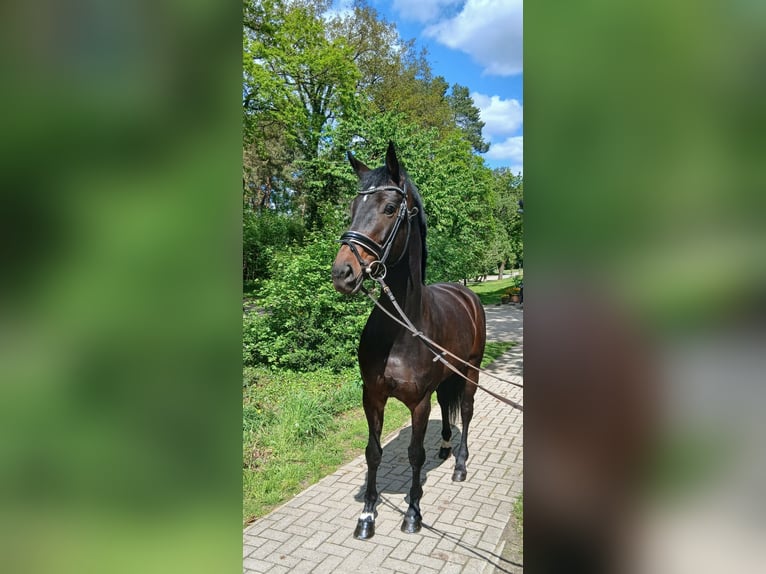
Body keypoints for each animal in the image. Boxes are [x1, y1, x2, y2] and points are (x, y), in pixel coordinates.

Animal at [331, 142, 487, 540]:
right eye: (352, 209)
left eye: (389, 208)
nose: (343, 273)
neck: (402, 327)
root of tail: (466, 293)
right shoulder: (372, 396)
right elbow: (373, 453)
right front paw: (367, 516)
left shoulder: (419, 403)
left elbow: (415, 454)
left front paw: (413, 513)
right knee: (449, 411)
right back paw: (445, 447)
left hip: (471, 372)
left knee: (465, 411)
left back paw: (460, 465)